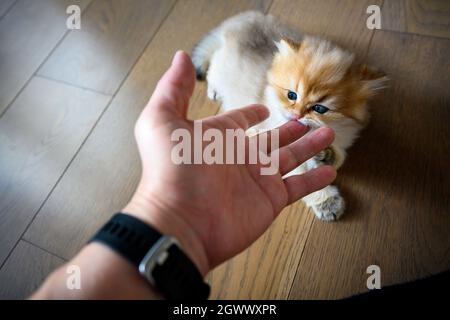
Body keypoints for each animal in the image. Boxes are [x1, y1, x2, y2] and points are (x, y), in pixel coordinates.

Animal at [192, 10, 384, 220]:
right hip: (221, 68)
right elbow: (303, 176)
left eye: (319, 109)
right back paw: (214, 91)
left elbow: (339, 156)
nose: (297, 115)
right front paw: (327, 202)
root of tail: (239, 21)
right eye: (291, 95)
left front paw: (326, 156)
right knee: (212, 71)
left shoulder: (341, 137)